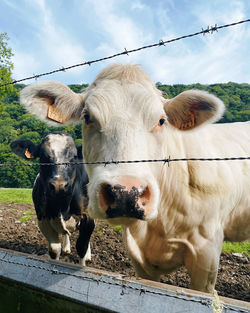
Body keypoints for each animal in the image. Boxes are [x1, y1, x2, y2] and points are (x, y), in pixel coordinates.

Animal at [10, 131, 94, 264]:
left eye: (74, 156)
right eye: (43, 156)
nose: (59, 185)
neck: (63, 205)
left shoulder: (88, 217)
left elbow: (82, 247)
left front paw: (84, 262)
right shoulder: (43, 219)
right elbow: (54, 250)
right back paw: (66, 248)